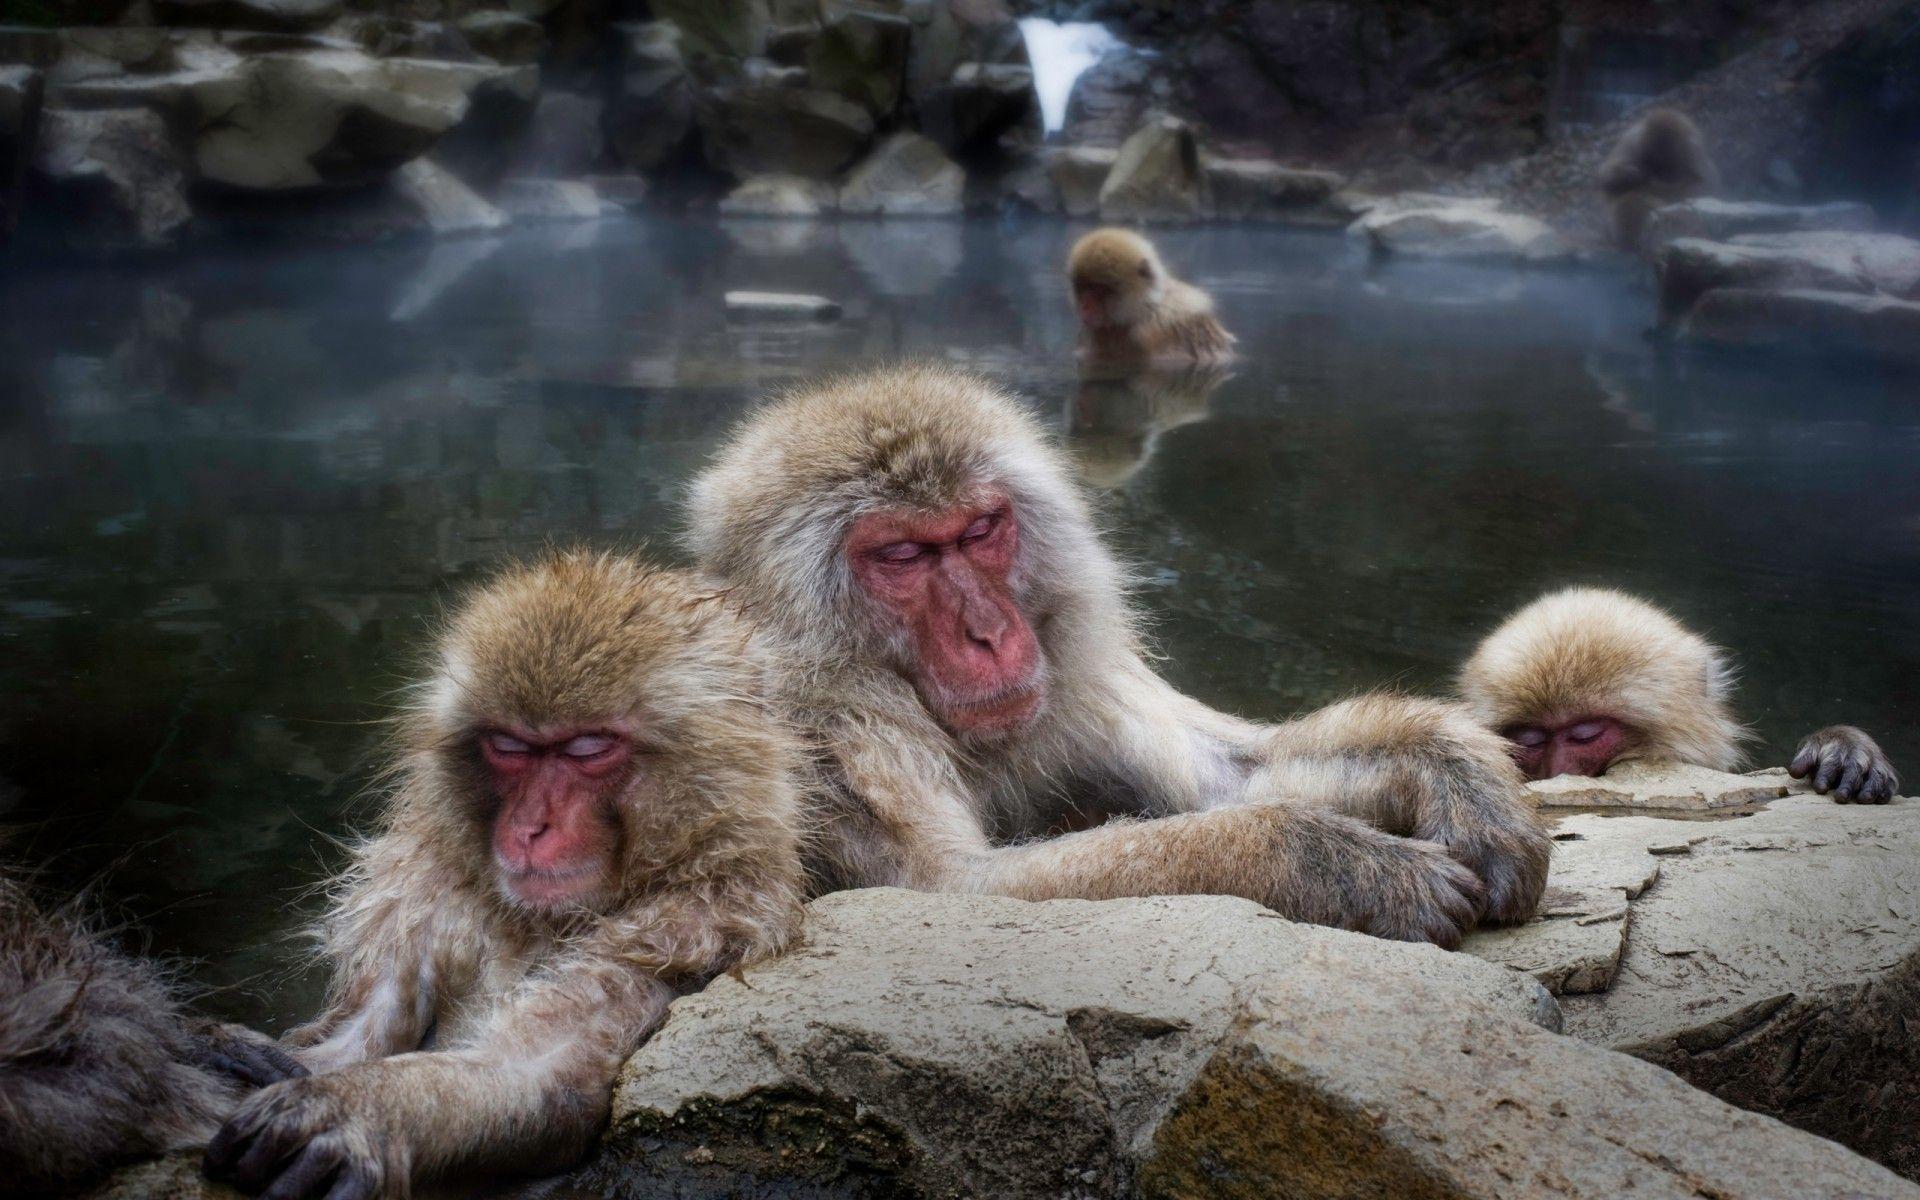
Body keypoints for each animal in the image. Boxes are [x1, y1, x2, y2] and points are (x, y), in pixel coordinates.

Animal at [203, 551, 809, 1200]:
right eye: (510, 747)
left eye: (587, 747)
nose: (529, 827)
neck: (544, 921)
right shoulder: (425, 897)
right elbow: (354, 1036)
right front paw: (234, 1052)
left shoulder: (691, 926)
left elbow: (540, 1076)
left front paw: (361, 1108)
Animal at [687, 363, 1549, 949]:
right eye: (901, 555)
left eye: (980, 530)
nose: (988, 633)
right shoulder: (823, 724)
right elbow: (947, 889)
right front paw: (1330, 862)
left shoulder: (1071, 673)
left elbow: (1227, 774)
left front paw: (1456, 774)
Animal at [1597, 107, 1719, 254]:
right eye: (1653, 163)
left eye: (1667, 168)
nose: (1659, 176)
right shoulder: (1630, 143)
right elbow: (1606, 177)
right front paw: (1632, 174)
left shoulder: (1698, 161)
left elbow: (1700, 189)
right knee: (1628, 202)